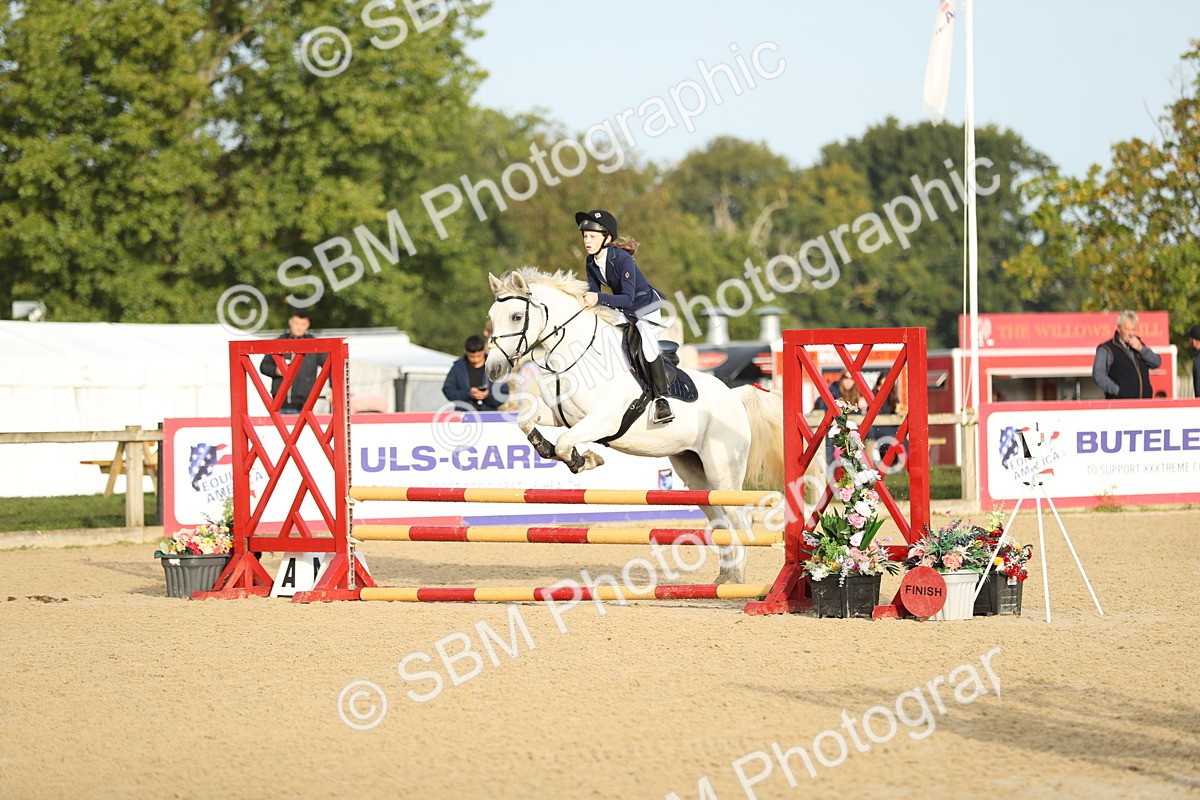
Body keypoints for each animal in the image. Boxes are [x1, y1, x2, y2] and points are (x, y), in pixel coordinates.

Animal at [485, 267, 785, 584]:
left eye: (516, 316)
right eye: (492, 316)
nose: (493, 370)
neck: (576, 356)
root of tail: (734, 396)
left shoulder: (603, 420)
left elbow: (566, 443)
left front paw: (584, 459)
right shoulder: (559, 414)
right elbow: (526, 421)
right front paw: (550, 449)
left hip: (722, 471)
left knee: (739, 518)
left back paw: (736, 580)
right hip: (694, 473)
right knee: (721, 520)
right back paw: (724, 578)